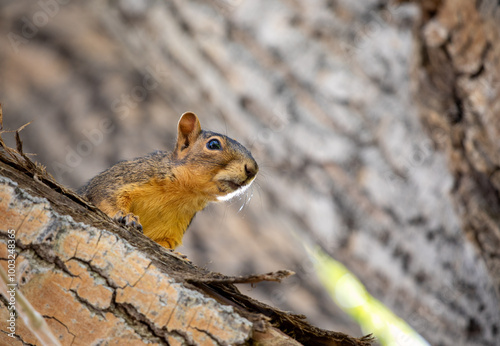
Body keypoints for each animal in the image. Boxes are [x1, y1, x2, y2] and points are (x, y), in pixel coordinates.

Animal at [79, 112, 258, 250]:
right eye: (213, 144)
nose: (252, 169)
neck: (183, 193)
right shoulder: (125, 178)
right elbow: (107, 196)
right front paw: (125, 216)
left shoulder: (175, 224)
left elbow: (165, 241)